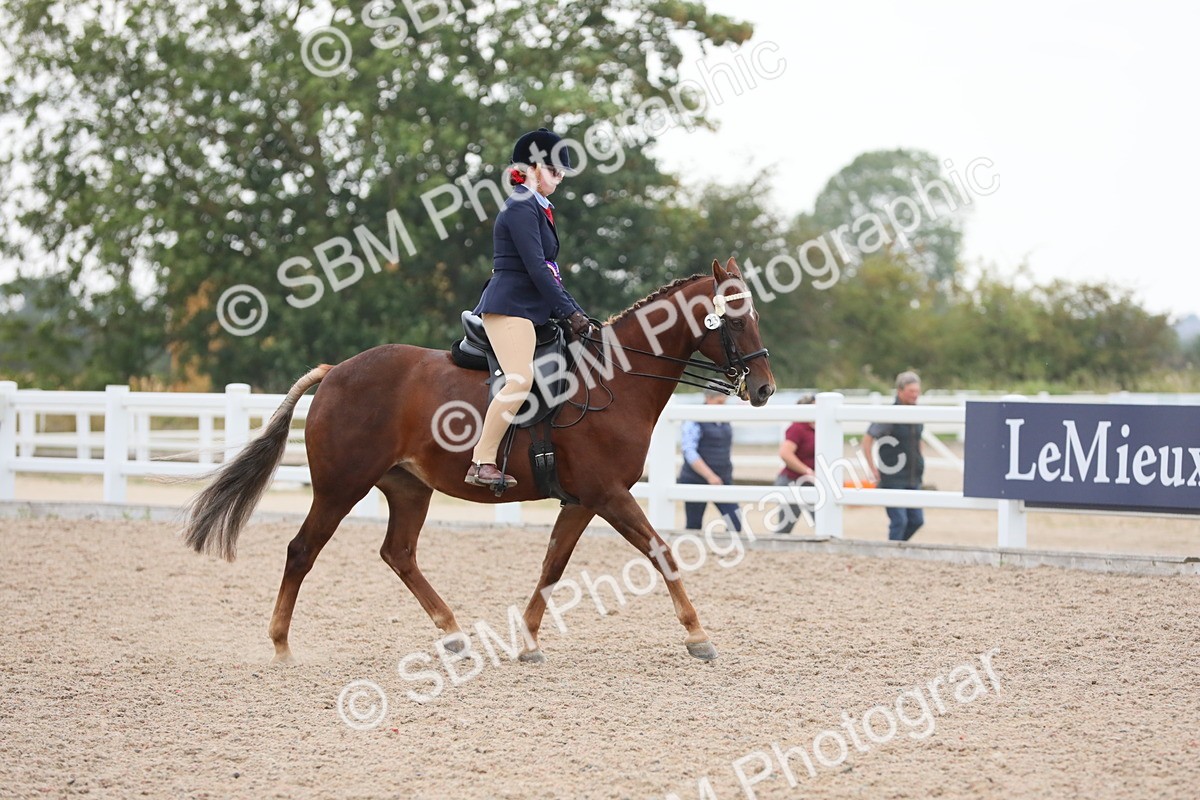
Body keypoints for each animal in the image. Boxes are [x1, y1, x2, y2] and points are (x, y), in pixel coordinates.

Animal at [183, 257, 776, 663]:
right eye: (734, 318)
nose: (765, 389)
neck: (614, 379)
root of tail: (334, 372)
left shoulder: (583, 500)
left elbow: (553, 565)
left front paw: (529, 641)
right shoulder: (609, 494)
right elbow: (661, 551)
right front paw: (698, 635)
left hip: (408, 487)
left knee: (399, 553)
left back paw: (453, 633)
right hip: (339, 487)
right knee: (302, 551)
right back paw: (282, 646)